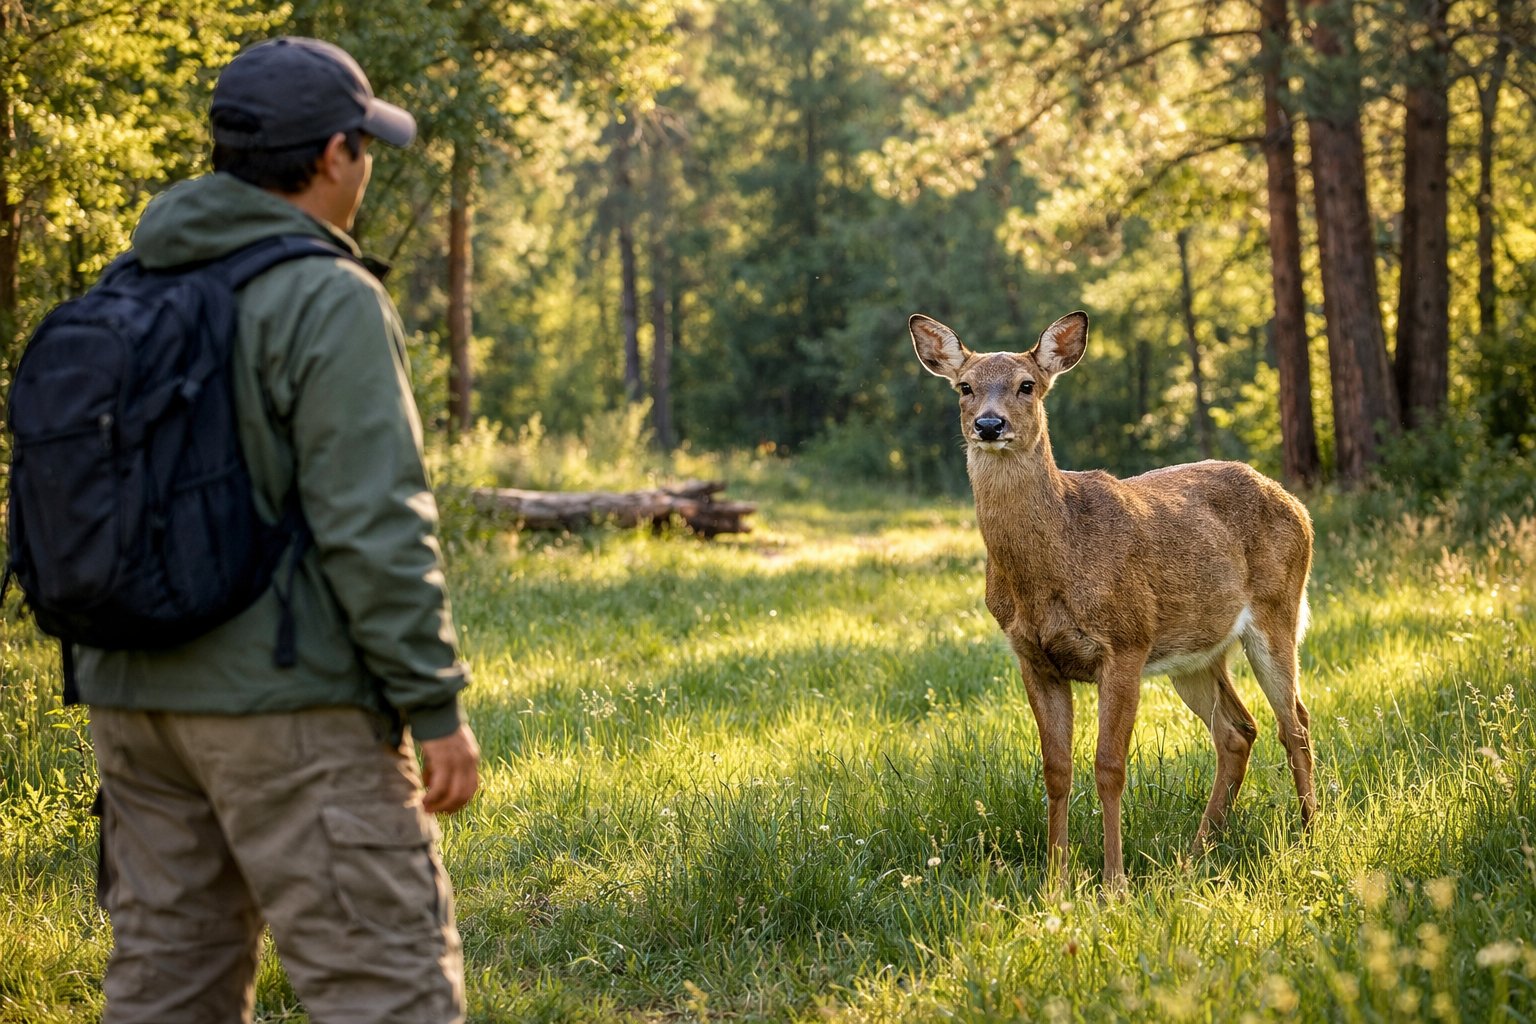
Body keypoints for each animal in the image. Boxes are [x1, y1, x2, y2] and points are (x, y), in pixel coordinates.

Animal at [910, 310, 1316, 890]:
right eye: (964, 386)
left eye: (1027, 385)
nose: (989, 425)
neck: (1052, 567)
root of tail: (1296, 504)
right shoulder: (1033, 658)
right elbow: (1056, 769)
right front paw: (1055, 881)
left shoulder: (1125, 643)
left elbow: (1109, 767)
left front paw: (1114, 883)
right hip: (1195, 652)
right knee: (1238, 731)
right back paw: (1195, 855)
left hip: (1276, 609)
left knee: (1294, 721)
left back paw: (1309, 834)